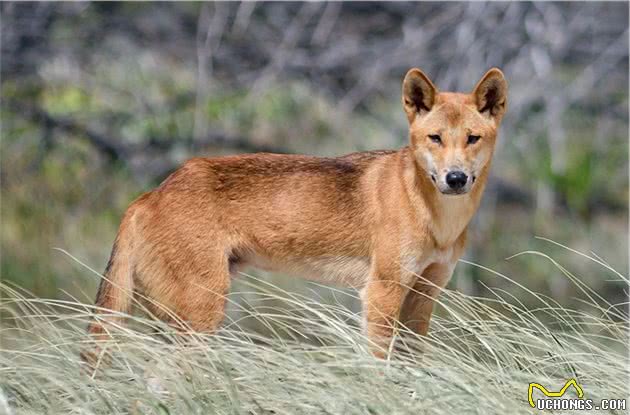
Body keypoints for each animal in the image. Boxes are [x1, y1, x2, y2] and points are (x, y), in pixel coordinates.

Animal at [84, 68, 508, 360]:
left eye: (472, 138)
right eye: (435, 138)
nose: (455, 178)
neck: (436, 218)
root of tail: (147, 195)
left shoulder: (423, 296)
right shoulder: (381, 293)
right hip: (203, 313)